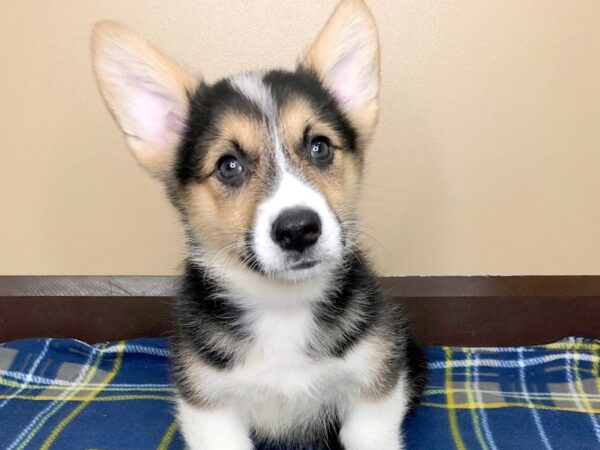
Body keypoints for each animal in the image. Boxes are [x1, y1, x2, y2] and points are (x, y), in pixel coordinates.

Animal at [91, 0, 424, 448]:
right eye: (229, 166)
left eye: (319, 147)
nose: (298, 229)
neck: (282, 306)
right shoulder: (210, 410)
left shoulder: (372, 391)